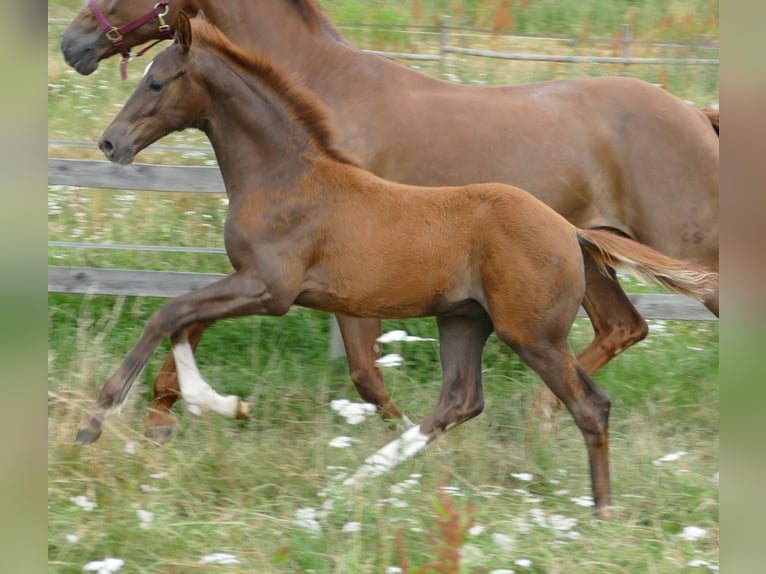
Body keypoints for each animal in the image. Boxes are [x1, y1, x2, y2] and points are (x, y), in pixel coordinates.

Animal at [78, 14, 718, 516]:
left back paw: (602, 509)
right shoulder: (258, 286)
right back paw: (353, 485)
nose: (110, 143)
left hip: (531, 334)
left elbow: (169, 314)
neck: (287, 176)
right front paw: (204, 408)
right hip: (464, 320)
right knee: (463, 400)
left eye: (157, 82)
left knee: (588, 404)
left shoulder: (268, 288)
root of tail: (568, 228)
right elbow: (183, 321)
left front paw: (99, 420)